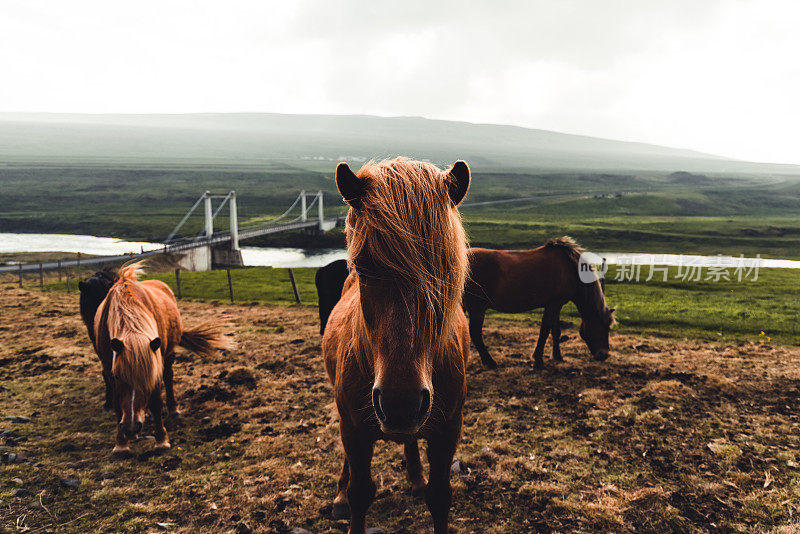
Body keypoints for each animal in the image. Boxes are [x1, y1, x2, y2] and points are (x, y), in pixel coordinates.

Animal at [95, 262, 231, 458]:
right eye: (118, 377)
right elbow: (117, 405)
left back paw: (172, 410)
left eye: (149, 378)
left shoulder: (156, 364)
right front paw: (121, 443)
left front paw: (161, 441)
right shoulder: (109, 368)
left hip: (168, 355)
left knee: (169, 378)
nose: (131, 428)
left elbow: (155, 402)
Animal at [324, 158, 472, 534]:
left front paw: (423, 483)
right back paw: (340, 496)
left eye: (446, 266)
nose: (400, 401)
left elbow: (440, 497)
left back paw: (416, 478)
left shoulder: (447, 430)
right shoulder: (355, 432)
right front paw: (348, 497)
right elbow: (361, 493)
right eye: (363, 266)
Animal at [462, 239, 612, 372]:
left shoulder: (557, 305)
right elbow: (544, 330)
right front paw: (538, 360)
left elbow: (555, 331)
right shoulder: (553, 304)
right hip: (477, 308)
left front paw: (557, 356)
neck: (569, 268)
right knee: (475, 333)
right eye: (604, 327)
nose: (604, 355)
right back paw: (490, 362)